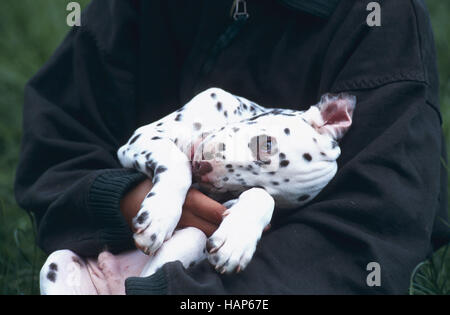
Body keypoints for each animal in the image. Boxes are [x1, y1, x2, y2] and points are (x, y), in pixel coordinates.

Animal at [117, 87, 356, 276]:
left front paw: (235, 240)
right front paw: (158, 218)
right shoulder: (143, 137)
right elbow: (178, 165)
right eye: (267, 144)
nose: (202, 168)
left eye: (244, 189)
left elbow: (261, 199)